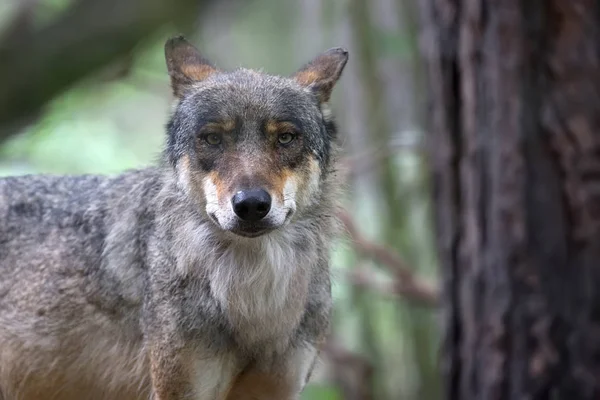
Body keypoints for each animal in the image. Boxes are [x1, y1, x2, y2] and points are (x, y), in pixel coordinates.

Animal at [0, 36, 346, 398]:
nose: (251, 204)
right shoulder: (177, 389)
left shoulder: (279, 389)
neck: (253, 296)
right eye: (212, 138)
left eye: (285, 138)